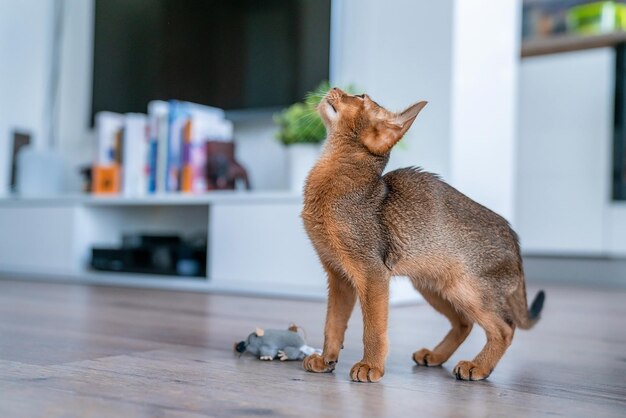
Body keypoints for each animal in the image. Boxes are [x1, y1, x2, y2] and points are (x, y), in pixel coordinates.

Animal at [302, 88, 540, 382]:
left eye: (359, 97)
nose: (333, 89)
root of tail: (514, 237)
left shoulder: (372, 272)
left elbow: (374, 328)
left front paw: (371, 366)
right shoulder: (338, 276)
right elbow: (332, 324)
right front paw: (326, 359)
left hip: (466, 288)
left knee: (505, 328)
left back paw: (478, 367)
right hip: (433, 286)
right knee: (465, 322)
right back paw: (436, 356)